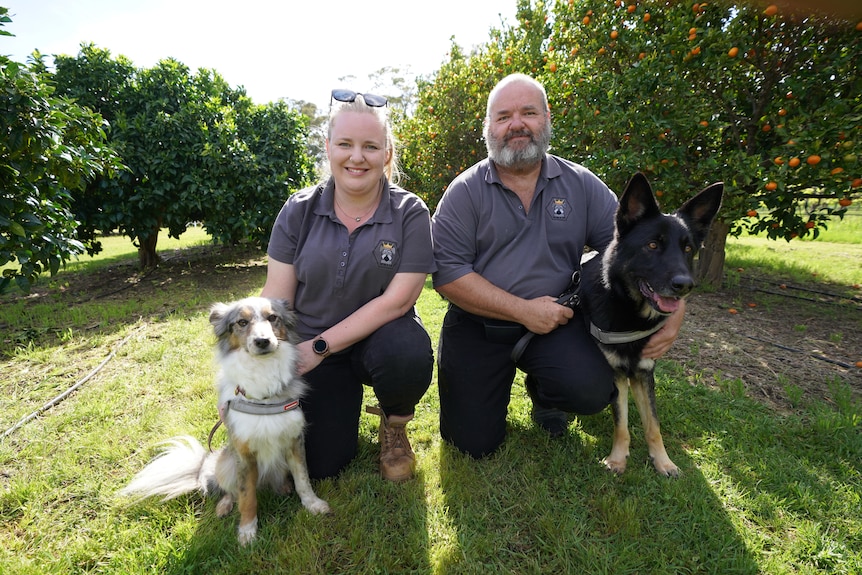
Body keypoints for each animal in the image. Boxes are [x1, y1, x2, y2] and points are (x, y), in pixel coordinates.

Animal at [123, 300, 332, 548]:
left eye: (273, 318)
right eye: (241, 322)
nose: (263, 341)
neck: (262, 377)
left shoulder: (294, 441)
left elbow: (303, 479)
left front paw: (313, 504)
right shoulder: (243, 453)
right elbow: (247, 496)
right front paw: (247, 532)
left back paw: (283, 487)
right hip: (225, 462)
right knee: (229, 490)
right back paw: (224, 505)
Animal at [584, 173, 724, 480]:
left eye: (688, 249)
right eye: (652, 245)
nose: (685, 286)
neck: (629, 311)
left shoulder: (644, 373)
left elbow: (654, 425)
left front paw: (663, 461)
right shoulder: (616, 372)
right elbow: (621, 422)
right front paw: (617, 459)